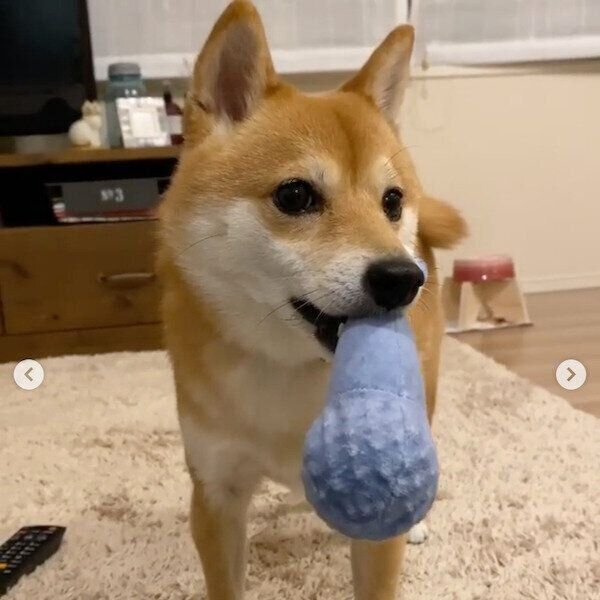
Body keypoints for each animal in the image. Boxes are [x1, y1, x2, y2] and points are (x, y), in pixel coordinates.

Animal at [157, 2, 466, 596]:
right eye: (296, 195)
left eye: (392, 202)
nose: (402, 278)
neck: (286, 365)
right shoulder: (216, 492)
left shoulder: (376, 526)